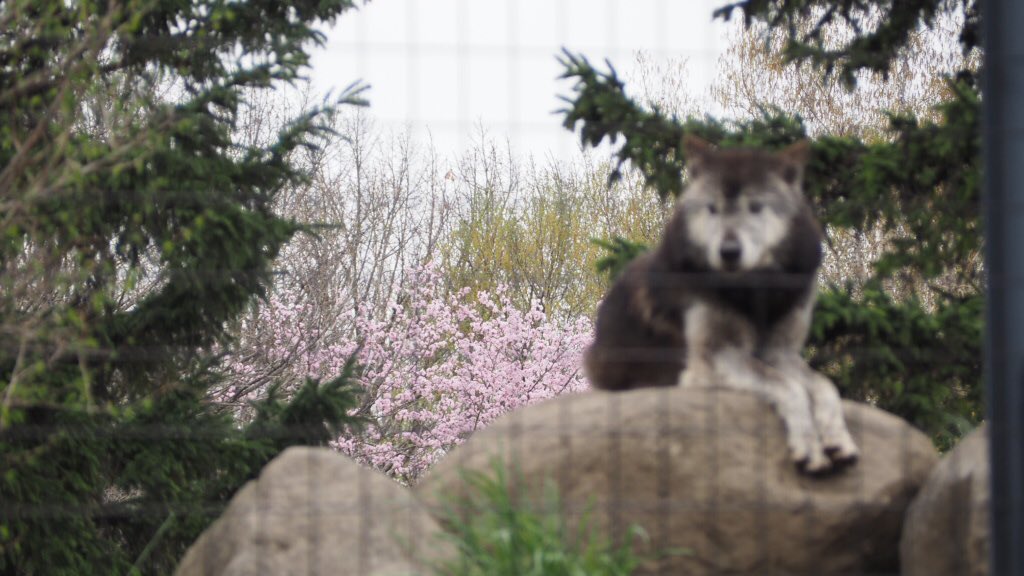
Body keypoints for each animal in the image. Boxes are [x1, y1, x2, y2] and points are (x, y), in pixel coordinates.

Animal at [585, 134, 856, 471]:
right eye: (712, 208)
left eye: (756, 207)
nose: (729, 252)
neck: (754, 290)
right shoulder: (713, 359)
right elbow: (789, 387)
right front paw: (809, 447)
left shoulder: (781, 353)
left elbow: (823, 384)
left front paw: (838, 438)